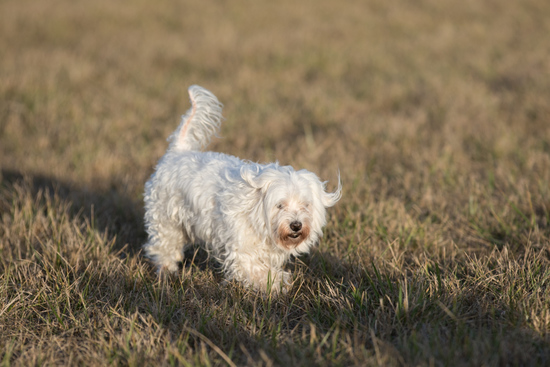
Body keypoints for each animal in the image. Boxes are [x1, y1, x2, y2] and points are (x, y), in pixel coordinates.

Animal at [143, 86, 340, 294]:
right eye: (279, 205)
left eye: (305, 206)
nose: (296, 225)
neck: (254, 211)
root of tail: (178, 152)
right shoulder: (242, 250)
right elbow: (256, 270)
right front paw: (277, 283)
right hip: (166, 222)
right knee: (164, 248)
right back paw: (166, 271)